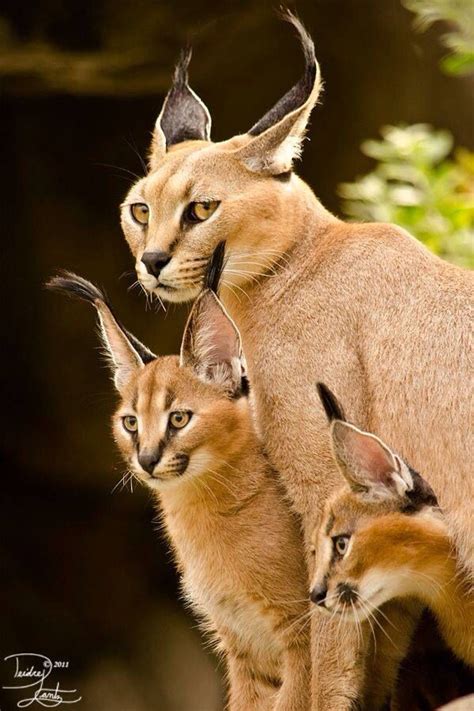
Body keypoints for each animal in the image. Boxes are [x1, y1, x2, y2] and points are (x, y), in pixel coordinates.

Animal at [46, 272, 310, 711]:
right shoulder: (245, 649)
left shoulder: (302, 634)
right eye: (131, 422)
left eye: (179, 419)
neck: (198, 508)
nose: (147, 458)